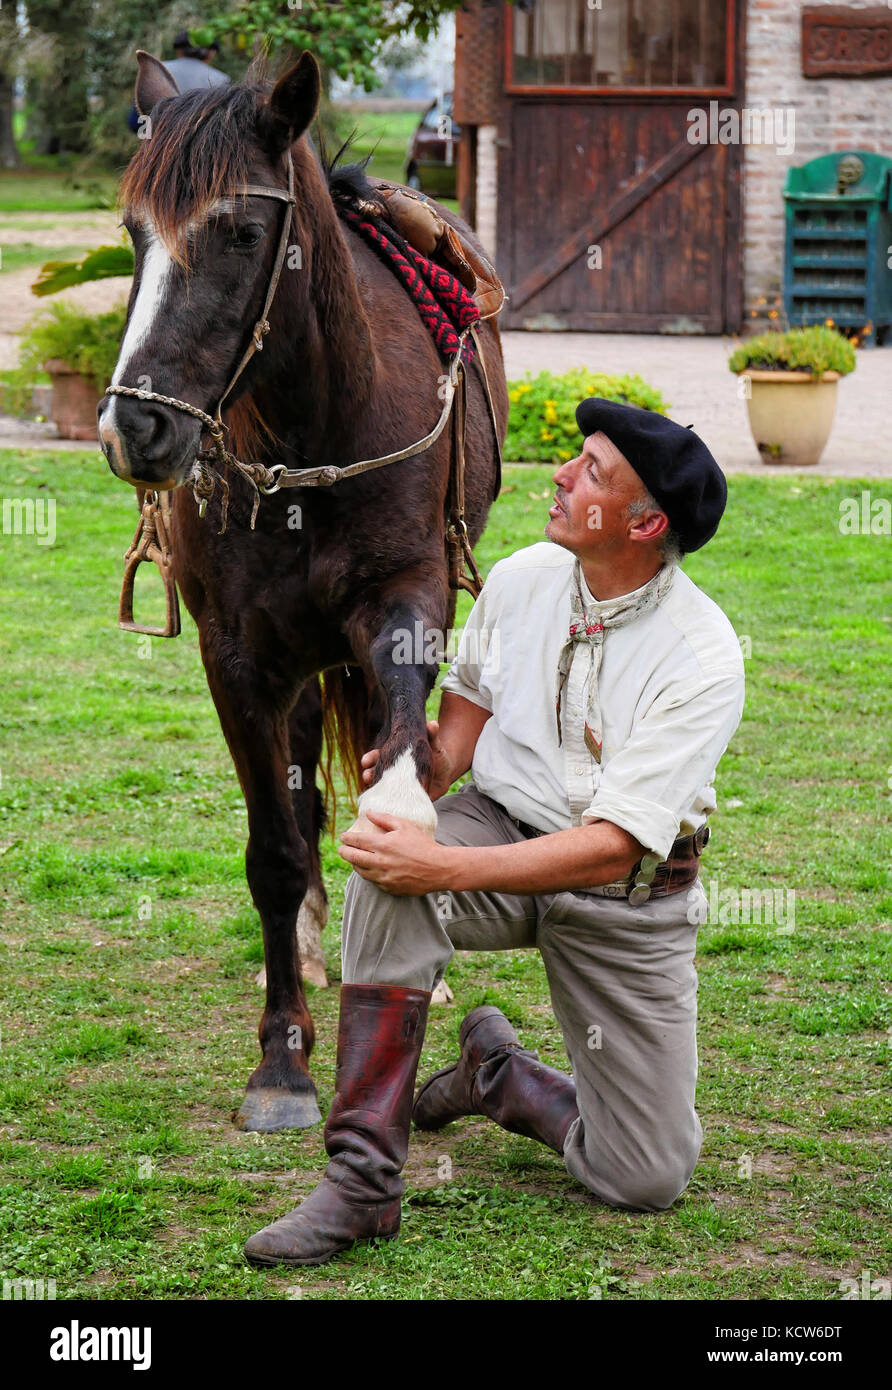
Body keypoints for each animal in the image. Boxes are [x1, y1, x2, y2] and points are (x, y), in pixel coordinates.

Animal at [97, 54, 505, 1134]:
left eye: (243, 232)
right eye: (134, 234)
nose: (135, 428)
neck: (311, 434)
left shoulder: (405, 613)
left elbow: (400, 788)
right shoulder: (238, 658)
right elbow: (276, 851)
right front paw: (282, 1057)